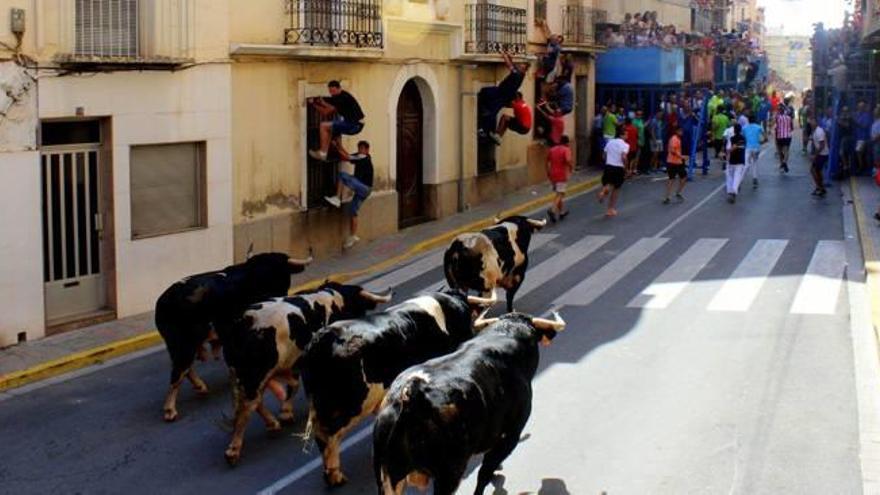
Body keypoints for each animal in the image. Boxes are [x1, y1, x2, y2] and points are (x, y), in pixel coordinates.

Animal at [155, 252, 312, 422]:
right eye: (281, 272)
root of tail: (164, 301)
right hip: (185, 344)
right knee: (179, 371)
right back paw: (170, 409)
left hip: (179, 345)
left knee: (184, 368)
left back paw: (200, 386)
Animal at [220, 282, 392, 464]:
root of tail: (246, 320)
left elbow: (292, 387)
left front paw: (286, 413)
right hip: (254, 375)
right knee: (248, 405)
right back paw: (233, 450)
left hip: (241, 373)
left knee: (253, 401)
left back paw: (272, 424)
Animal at [372, 314, 564, 495]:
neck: (507, 333)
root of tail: (412, 393)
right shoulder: (510, 435)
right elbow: (485, 472)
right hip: (449, 474)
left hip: (386, 477)